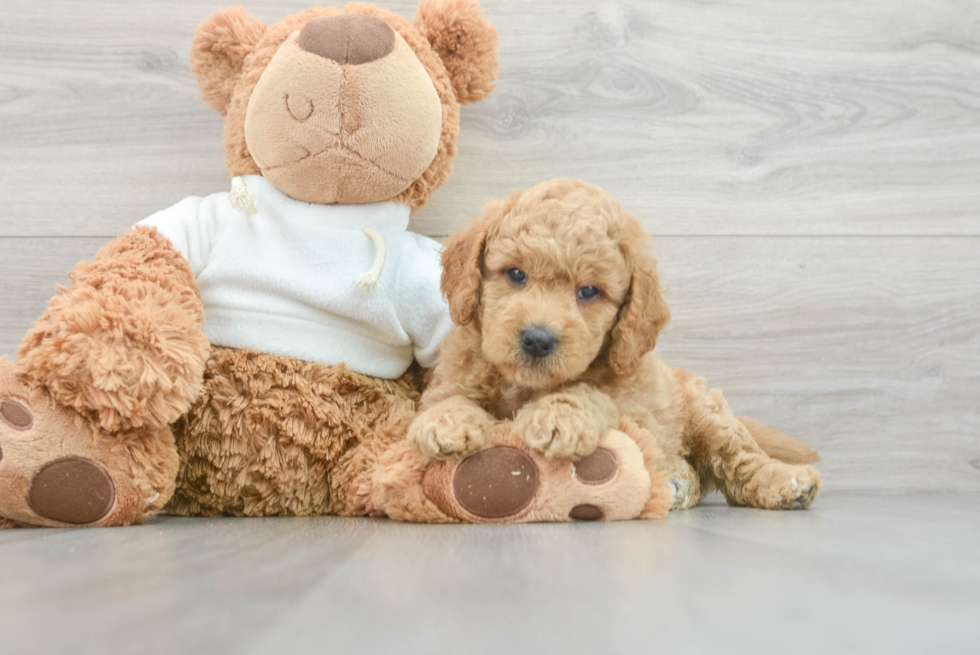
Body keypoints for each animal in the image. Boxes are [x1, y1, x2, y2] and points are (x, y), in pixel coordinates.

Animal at [410, 179, 824, 512]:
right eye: (515, 273)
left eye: (589, 291)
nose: (538, 339)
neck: (527, 385)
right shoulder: (458, 370)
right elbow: (449, 397)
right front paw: (445, 422)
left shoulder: (633, 404)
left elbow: (591, 393)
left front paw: (558, 415)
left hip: (709, 415)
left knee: (740, 460)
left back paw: (787, 483)